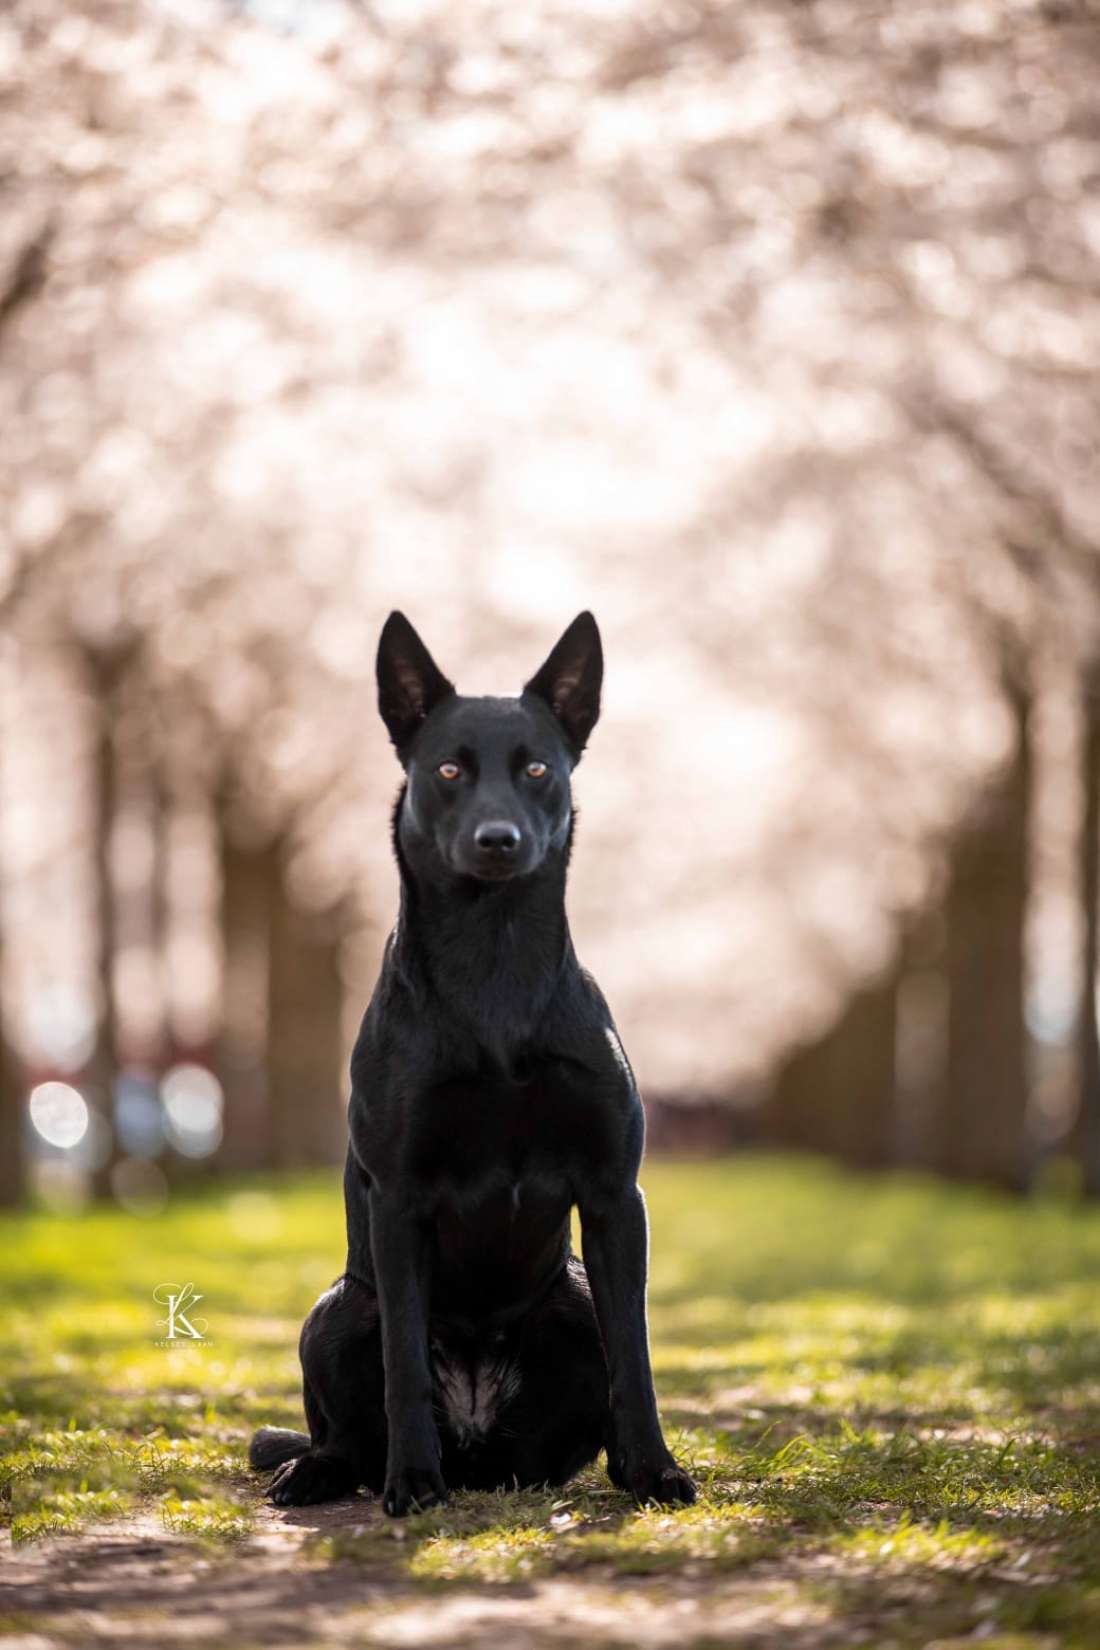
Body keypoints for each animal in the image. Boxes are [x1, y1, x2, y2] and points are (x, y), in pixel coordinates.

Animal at [252, 613, 695, 1511]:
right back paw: (328, 1469)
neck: (494, 964)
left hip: (571, 1298)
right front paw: (413, 1482)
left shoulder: (613, 1197)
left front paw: (652, 1469)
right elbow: (403, 1365)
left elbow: (635, 1355)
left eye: (537, 769)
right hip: (338, 1306)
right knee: (347, 1431)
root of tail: (478, 1447)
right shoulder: (398, 1201)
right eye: (450, 769)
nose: (499, 840)